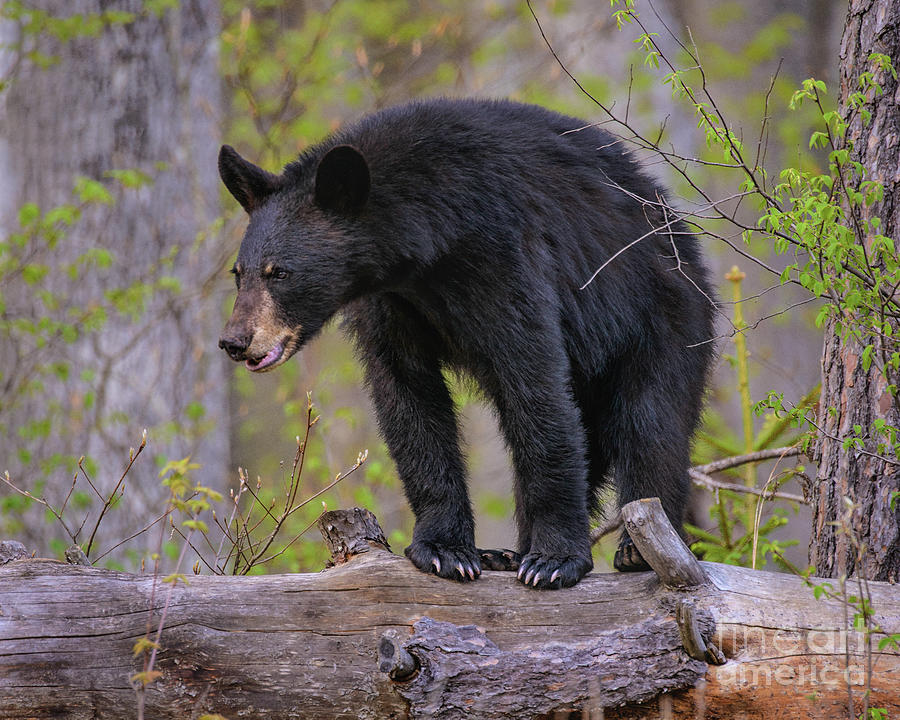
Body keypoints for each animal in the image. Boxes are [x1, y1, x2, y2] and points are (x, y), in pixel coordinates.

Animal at [220, 97, 716, 592]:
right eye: (239, 273)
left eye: (280, 272)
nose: (234, 341)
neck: (430, 242)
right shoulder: (392, 304)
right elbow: (409, 399)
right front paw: (445, 550)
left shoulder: (503, 258)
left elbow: (536, 386)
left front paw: (554, 560)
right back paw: (509, 552)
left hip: (660, 314)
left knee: (651, 422)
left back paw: (634, 549)